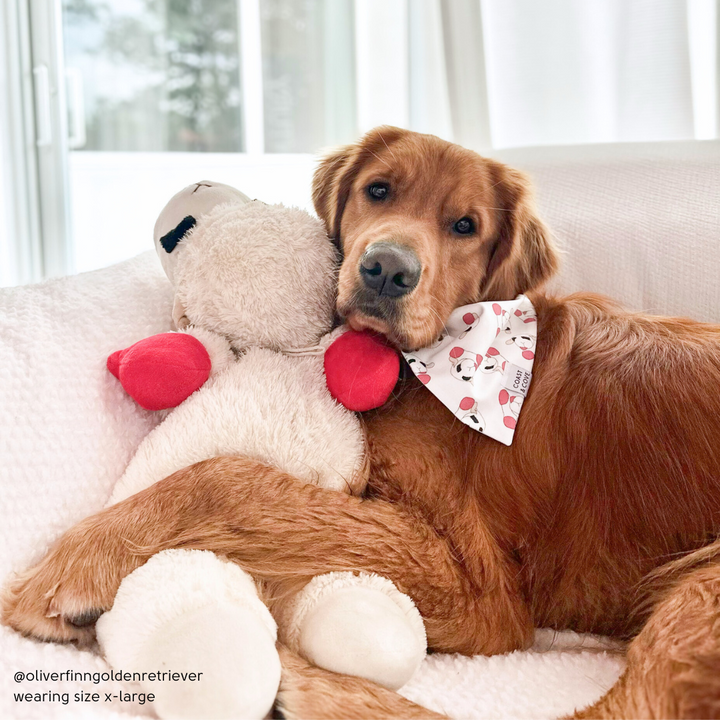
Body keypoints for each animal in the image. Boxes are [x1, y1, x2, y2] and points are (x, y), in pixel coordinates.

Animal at [4, 126, 720, 716]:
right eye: (379, 190)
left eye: (465, 225)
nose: (387, 269)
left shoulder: (481, 591)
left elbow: (229, 477)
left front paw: (71, 564)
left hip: (699, 588)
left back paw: (299, 682)